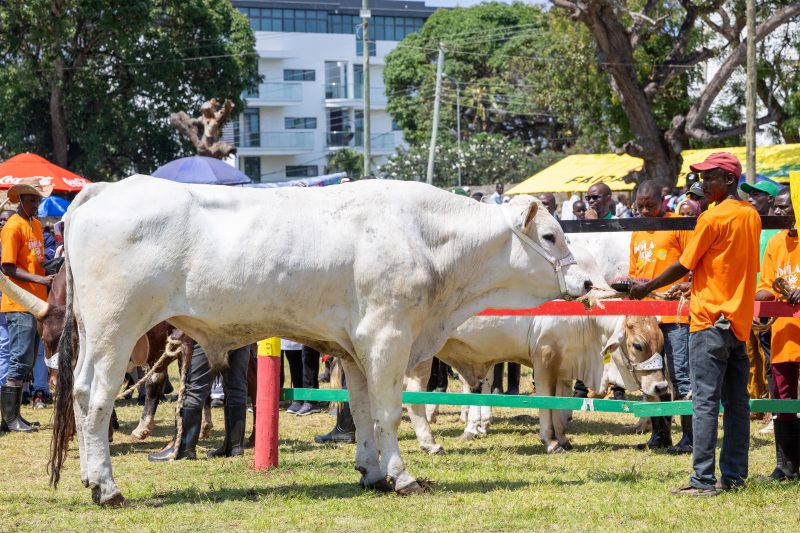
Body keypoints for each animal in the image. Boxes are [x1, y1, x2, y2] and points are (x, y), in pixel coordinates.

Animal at [43, 176, 592, 506]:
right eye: (550, 236)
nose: (587, 282)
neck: (424, 239)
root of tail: (104, 190)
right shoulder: (388, 336)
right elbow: (389, 411)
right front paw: (403, 477)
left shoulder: (354, 348)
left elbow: (363, 410)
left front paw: (372, 473)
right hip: (116, 329)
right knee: (96, 398)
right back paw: (107, 487)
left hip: (96, 333)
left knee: (79, 393)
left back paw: (91, 478)